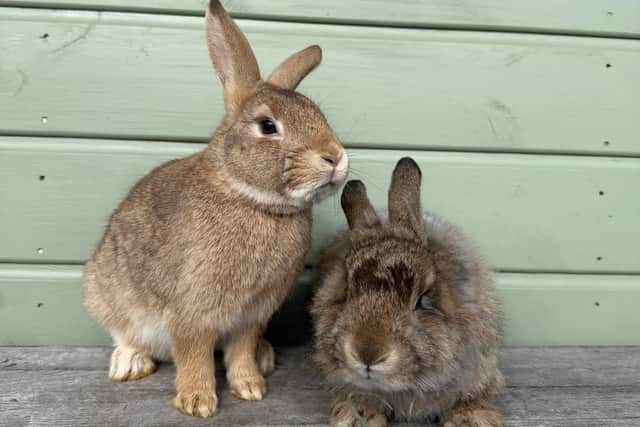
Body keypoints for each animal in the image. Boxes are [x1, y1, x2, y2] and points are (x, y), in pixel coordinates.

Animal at [82, 0, 348, 418]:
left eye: (317, 114)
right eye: (267, 126)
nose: (335, 157)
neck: (252, 199)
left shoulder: (254, 313)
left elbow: (241, 349)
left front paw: (250, 388)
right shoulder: (192, 308)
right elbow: (194, 353)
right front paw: (197, 403)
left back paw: (264, 358)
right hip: (105, 291)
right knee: (123, 332)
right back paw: (129, 364)